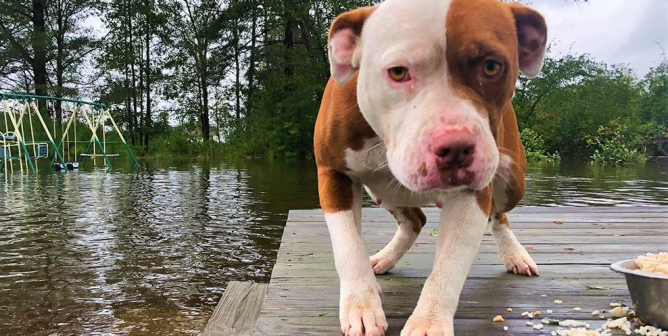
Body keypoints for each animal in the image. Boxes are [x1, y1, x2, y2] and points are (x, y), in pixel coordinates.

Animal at [314, 0, 548, 334]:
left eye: (491, 66)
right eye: (398, 72)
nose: (456, 146)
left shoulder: (472, 193)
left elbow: (450, 265)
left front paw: (429, 321)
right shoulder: (333, 174)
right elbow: (348, 247)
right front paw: (361, 305)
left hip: (513, 179)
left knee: (499, 214)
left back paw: (515, 254)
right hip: (379, 188)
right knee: (415, 219)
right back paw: (384, 259)